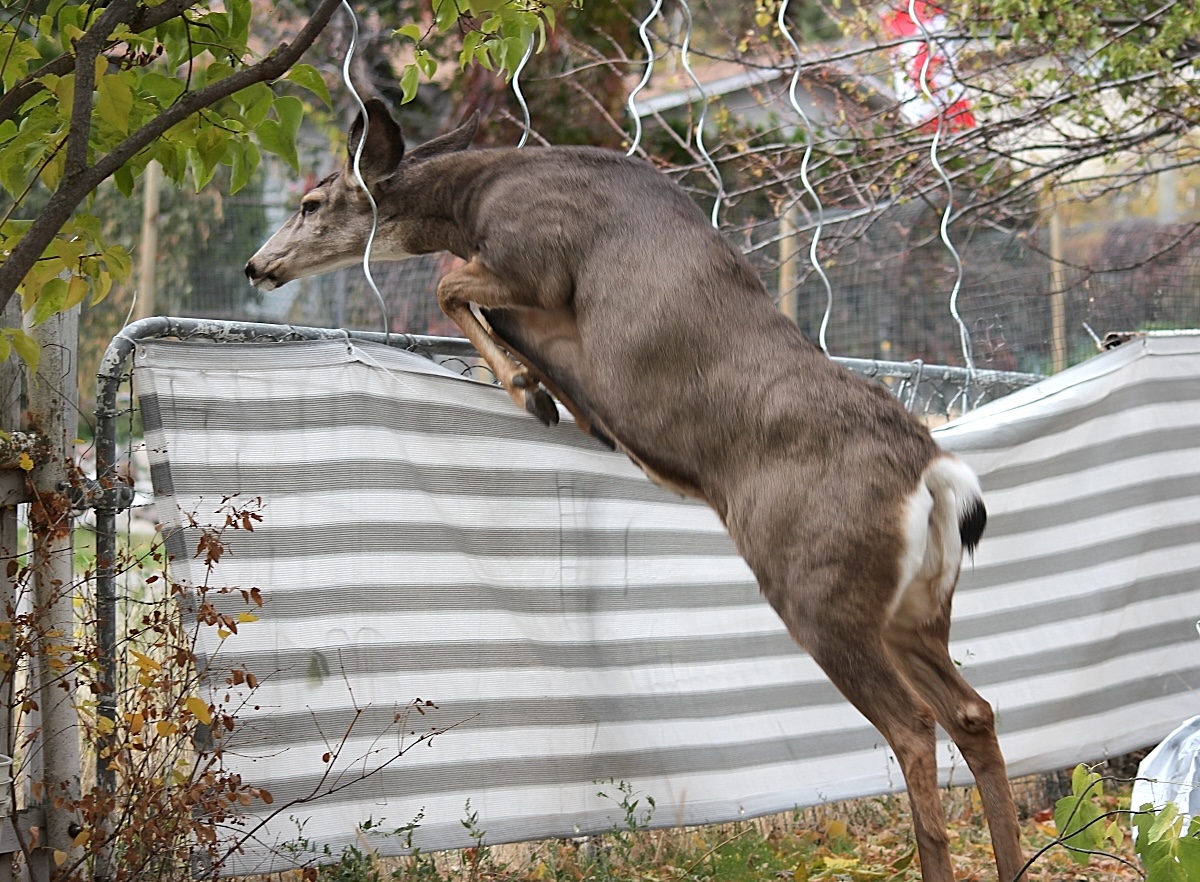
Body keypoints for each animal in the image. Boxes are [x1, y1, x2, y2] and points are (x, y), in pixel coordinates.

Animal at [245, 98, 1025, 882]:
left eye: (311, 202)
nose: (257, 265)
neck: (475, 197)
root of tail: (936, 474)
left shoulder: (537, 263)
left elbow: (448, 285)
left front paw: (529, 392)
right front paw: (553, 399)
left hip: (818, 590)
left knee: (912, 725)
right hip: (915, 608)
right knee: (974, 711)